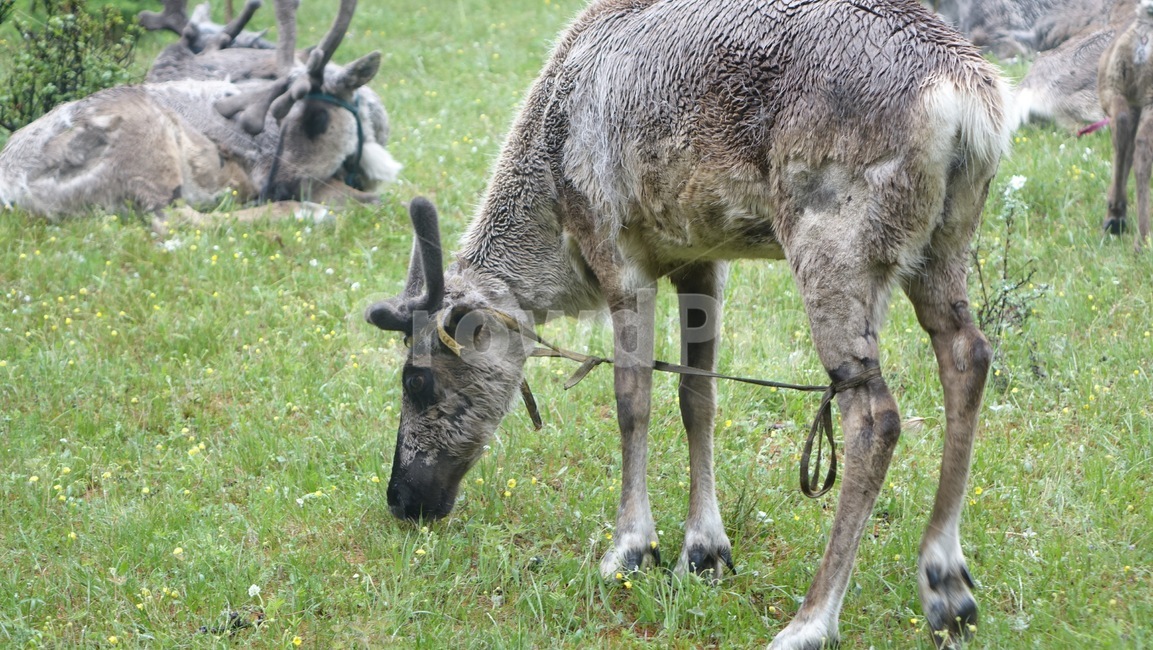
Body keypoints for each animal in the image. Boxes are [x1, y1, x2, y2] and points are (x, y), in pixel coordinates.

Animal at [0, 0, 399, 231]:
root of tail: (13, 190)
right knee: (175, 221)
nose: (268, 188)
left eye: (317, 118)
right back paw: (305, 213)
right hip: (150, 150)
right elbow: (364, 198)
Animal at [365, 0, 1010, 647]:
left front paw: (631, 547)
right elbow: (696, 397)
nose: (401, 496)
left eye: (415, 381)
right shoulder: (702, 259)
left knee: (873, 415)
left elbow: (633, 401)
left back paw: (811, 620)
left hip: (835, 244)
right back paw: (947, 587)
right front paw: (704, 549)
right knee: (968, 354)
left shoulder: (618, 256)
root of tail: (970, 102)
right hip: (944, 244)